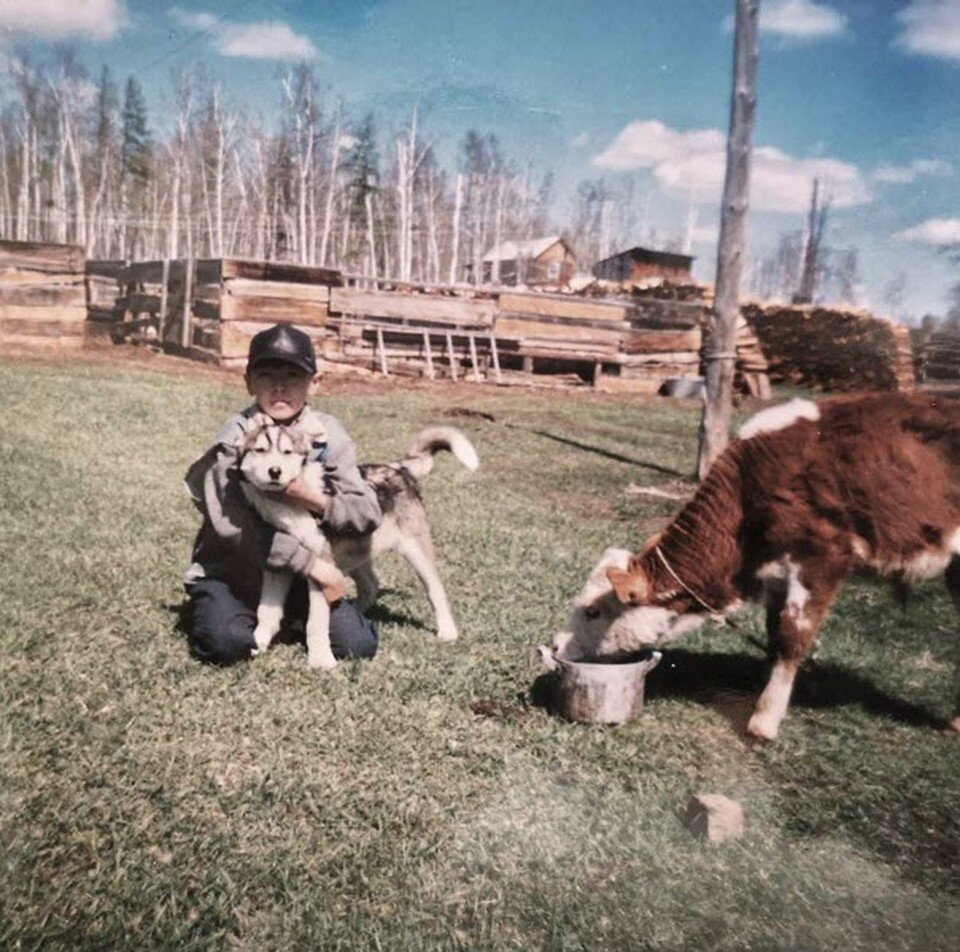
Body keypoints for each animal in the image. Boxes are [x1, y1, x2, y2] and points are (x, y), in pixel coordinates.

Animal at [238, 416, 478, 660]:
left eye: (287, 452)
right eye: (260, 450)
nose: (274, 471)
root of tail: (397, 468)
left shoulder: (322, 565)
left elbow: (316, 622)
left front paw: (321, 660)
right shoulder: (278, 566)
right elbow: (267, 612)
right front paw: (257, 643)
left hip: (416, 553)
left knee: (435, 592)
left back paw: (447, 632)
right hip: (353, 554)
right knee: (371, 584)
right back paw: (356, 610)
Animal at [552, 390, 960, 740]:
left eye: (592, 611)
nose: (555, 644)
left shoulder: (820, 560)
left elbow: (792, 636)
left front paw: (764, 720)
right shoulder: (777, 577)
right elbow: (774, 634)